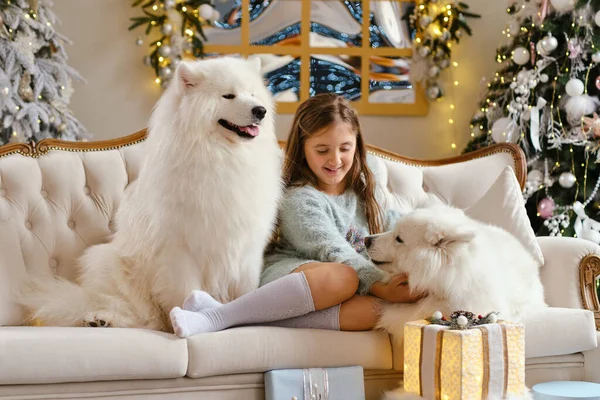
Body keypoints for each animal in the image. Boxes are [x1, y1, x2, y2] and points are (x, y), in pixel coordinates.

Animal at [18, 56, 282, 332]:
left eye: (252, 94)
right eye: (228, 95)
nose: (260, 111)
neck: (222, 156)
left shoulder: (246, 248)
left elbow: (246, 291)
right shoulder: (181, 250)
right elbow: (187, 291)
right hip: (110, 264)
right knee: (133, 313)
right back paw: (102, 319)